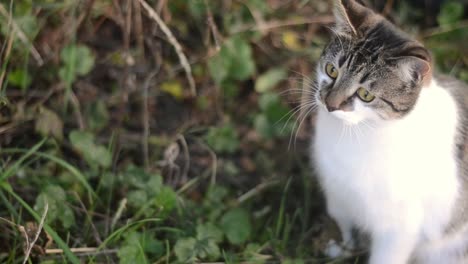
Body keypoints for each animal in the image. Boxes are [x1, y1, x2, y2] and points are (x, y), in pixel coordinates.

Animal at [310, 0, 468, 264]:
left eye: (366, 95)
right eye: (332, 70)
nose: (330, 104)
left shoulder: (399, 228)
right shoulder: (338, 196)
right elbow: (345, 229)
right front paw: (341, 248)